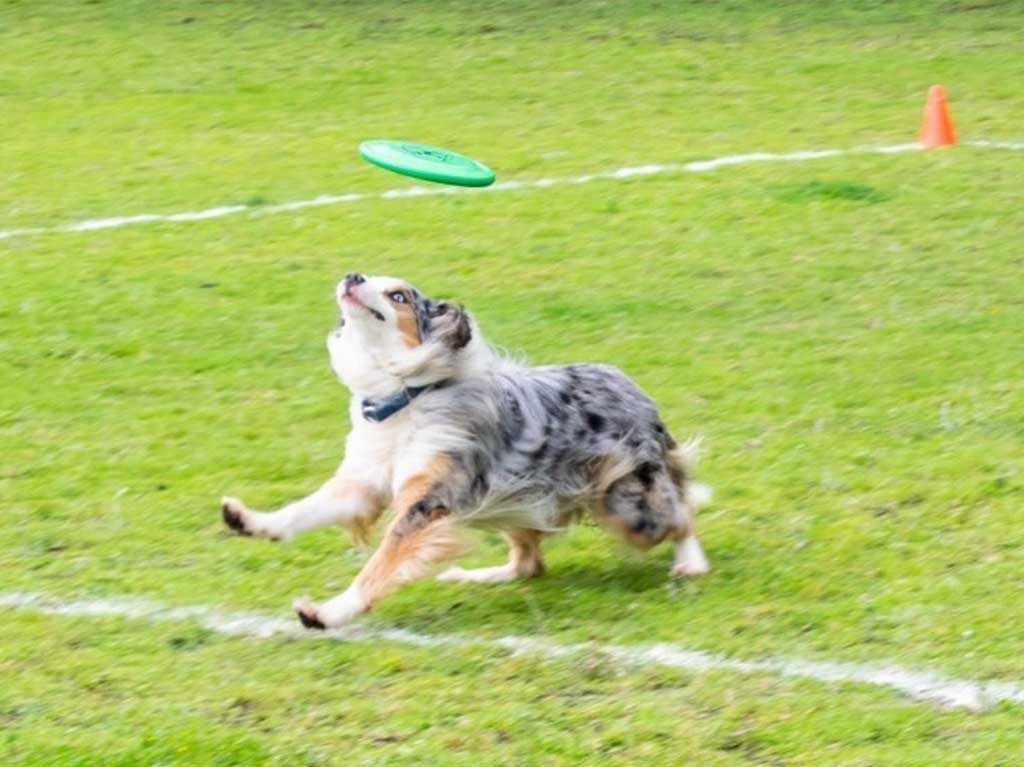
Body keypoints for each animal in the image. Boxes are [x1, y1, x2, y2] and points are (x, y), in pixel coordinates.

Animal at [220, 270, 708, 626]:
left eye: (398, 295)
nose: (352, 275)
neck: (405, 398)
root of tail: (634, 389)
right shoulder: (364, 483)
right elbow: (302, 511)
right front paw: (249, 520)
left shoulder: (427, 502)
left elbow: (379, 565)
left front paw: (329, 612)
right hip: (514, 500)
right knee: (529, 562)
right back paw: (478, 576)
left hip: (626, 503)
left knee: (681, 513)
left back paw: (691, 564)